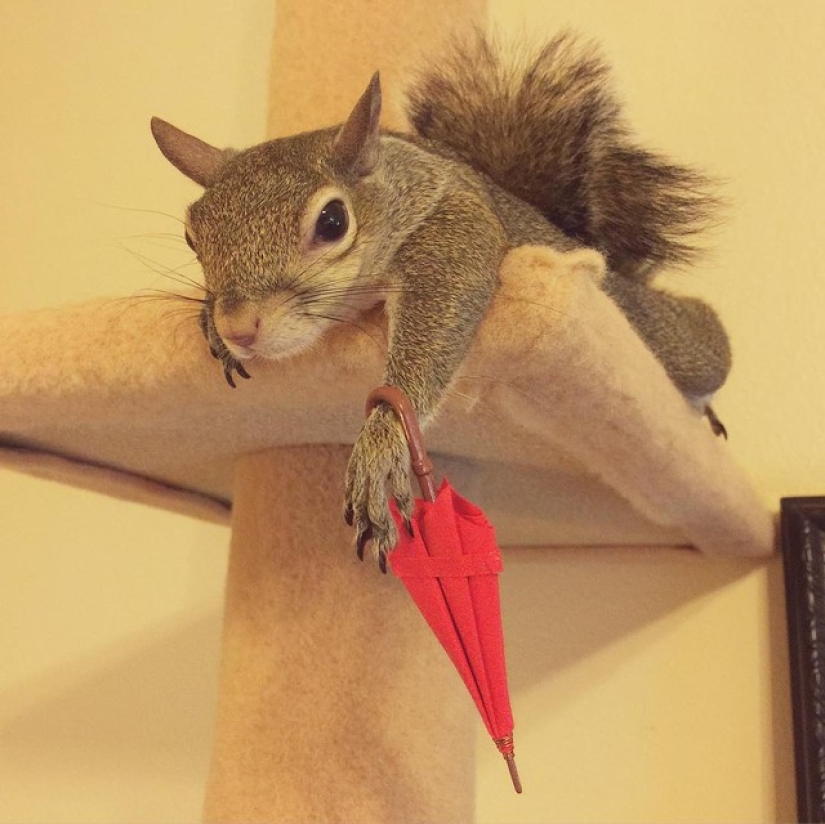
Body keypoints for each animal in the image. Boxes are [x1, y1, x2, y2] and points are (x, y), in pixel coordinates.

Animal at [151, 31, 731, 569]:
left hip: (672, 342)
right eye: (191, 237)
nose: (240, 327)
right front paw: (211, 325)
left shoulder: (456, 227)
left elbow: (441, 314)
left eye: (333, 221)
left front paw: (381, 446)